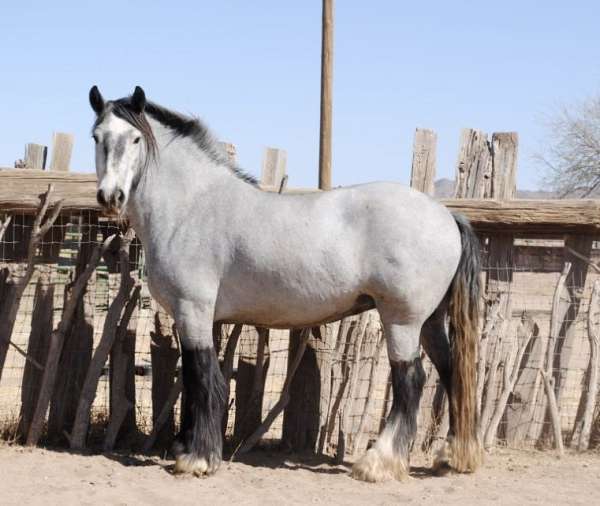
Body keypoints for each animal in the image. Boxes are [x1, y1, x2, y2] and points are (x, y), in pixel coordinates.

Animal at [89, 86, 482, 482]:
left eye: (135, 138)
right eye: (97, 136)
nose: (110, 197)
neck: (194, 206)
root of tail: (446, 215)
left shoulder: (193, 311)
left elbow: (203, 378)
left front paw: (198, 459)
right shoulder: (198, 318)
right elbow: (192, 378)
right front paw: (187, 448)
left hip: (401, 321)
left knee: (411, 381)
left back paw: (377, 463)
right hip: (429, 322)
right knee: (451, 373)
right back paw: (452, 456)